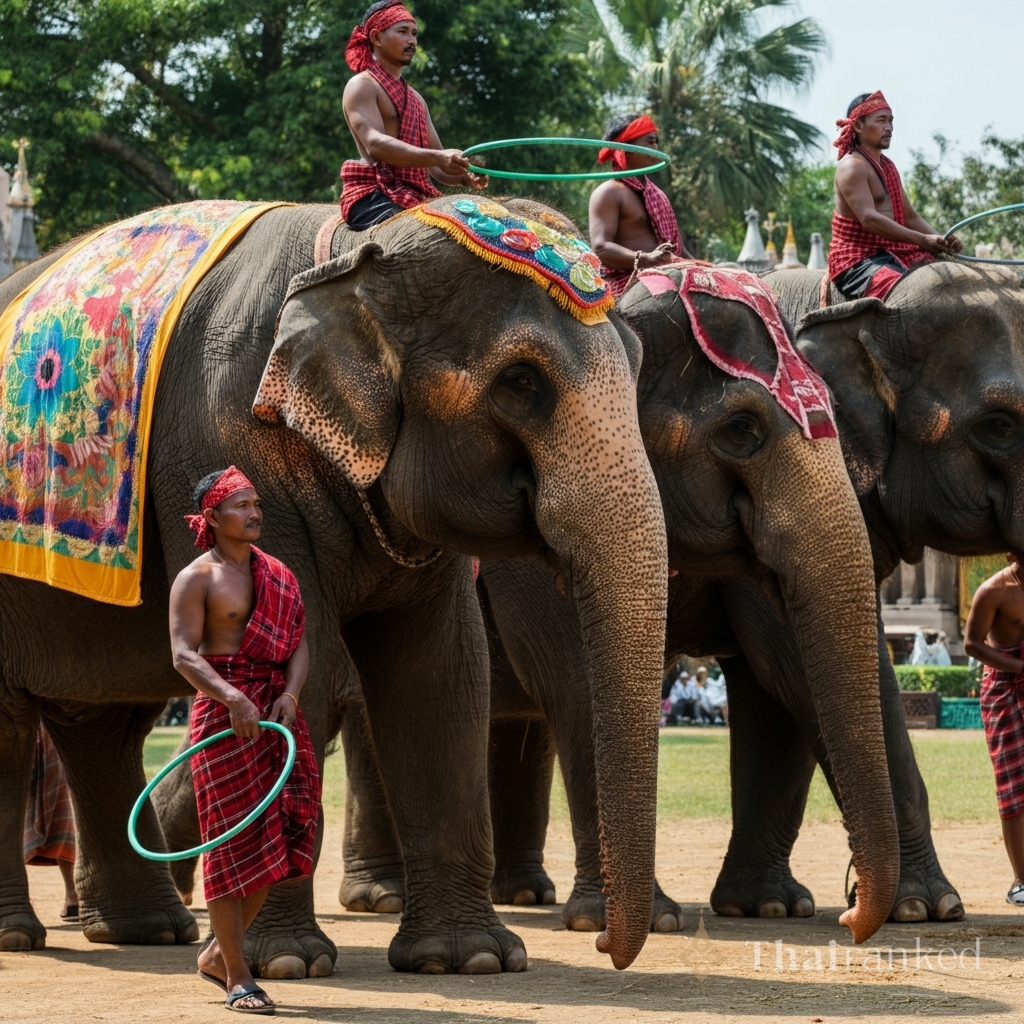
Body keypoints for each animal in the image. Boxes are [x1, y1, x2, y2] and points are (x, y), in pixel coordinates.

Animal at [0, 196, 670, 977]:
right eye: (521, 383)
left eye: (639, 365)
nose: (604, 943)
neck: (350, 250)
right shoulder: (225, 438)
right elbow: (303, 664)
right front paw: (283, 964)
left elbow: (443, 677)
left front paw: (467, 958)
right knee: (18, 724)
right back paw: (23, 936)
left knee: (100, 724)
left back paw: (150, 932)